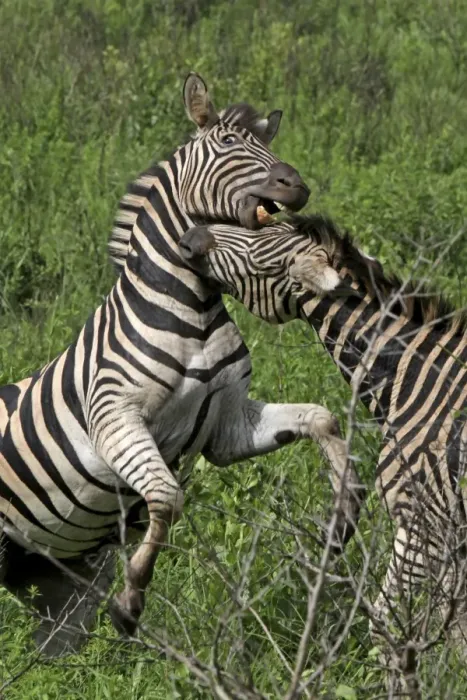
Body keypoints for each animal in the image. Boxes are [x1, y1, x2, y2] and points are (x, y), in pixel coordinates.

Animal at [0, 74, 354, 657]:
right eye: (229, 144)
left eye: (269, 144)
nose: (297, 185)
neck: (195, 308)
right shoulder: (114, 417)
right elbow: (167, 497)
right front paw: (130, 601)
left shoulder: (225, 427)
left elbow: (321, 418)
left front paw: (344, 518)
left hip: (55, 576)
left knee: (55, 653)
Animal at [179, 215, 467, 694]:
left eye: (258, 257)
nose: (188, 237)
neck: (412, 380)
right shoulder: (450, 535)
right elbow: (455, 628)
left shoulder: (422, 522)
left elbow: (389, 628)